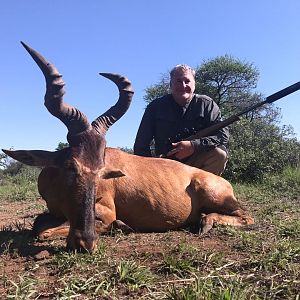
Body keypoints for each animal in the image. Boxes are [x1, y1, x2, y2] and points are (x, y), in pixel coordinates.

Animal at [2, 42, 253, 253]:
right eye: (71, 167)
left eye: (102, 172)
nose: (85, 243)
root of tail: (222, 182)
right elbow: (37, 224)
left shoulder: (105, 211)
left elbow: (44, 232)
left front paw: (120, 225)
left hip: (218, 197)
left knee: (246, 216)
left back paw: (204, 223)